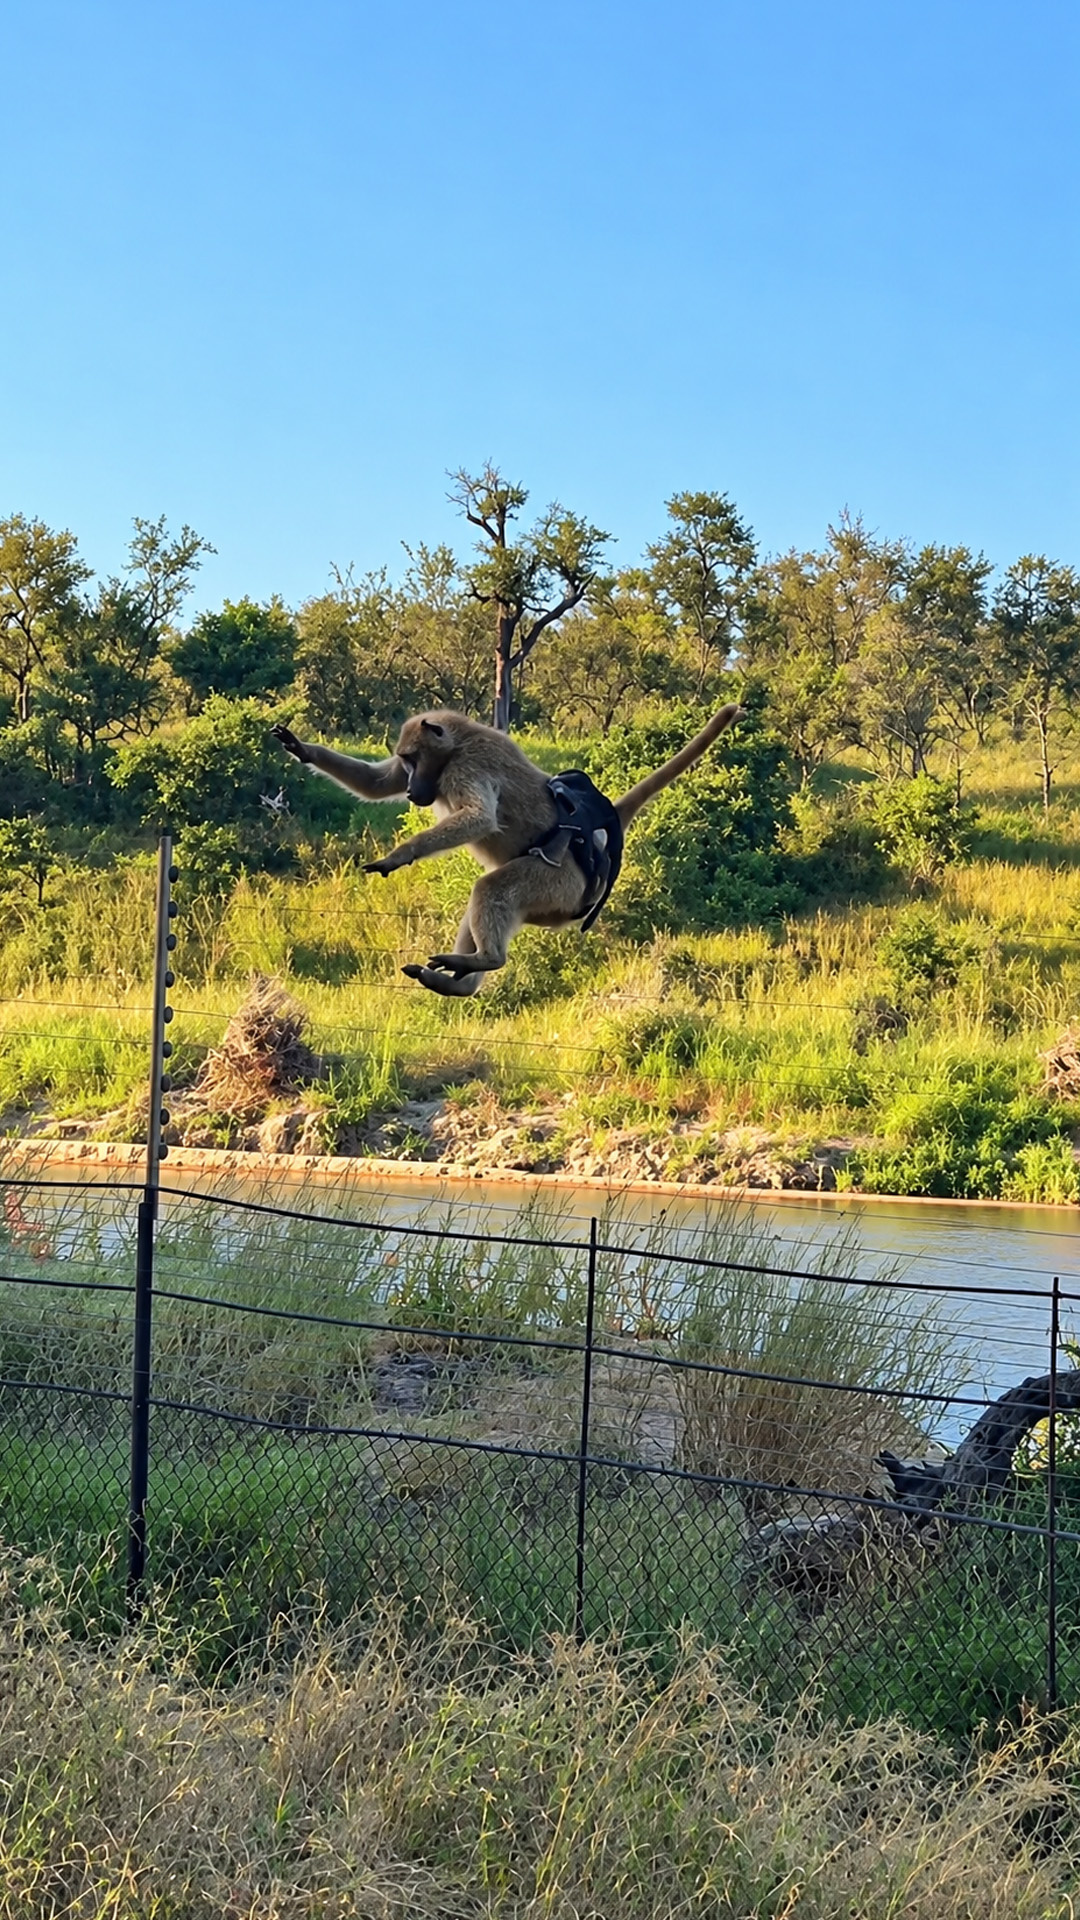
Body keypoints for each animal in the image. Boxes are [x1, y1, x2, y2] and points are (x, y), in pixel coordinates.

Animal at [271, 703, 744, 996]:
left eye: (412, 758)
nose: (410, 791)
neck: (457, 743)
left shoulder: (469, 767)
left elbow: (479, 818)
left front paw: (399, 855)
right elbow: (373, 783)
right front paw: (301, 748)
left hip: (558, 883)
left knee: (491, 889)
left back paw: (488, 959)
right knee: (484, 900)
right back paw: (458, 981)